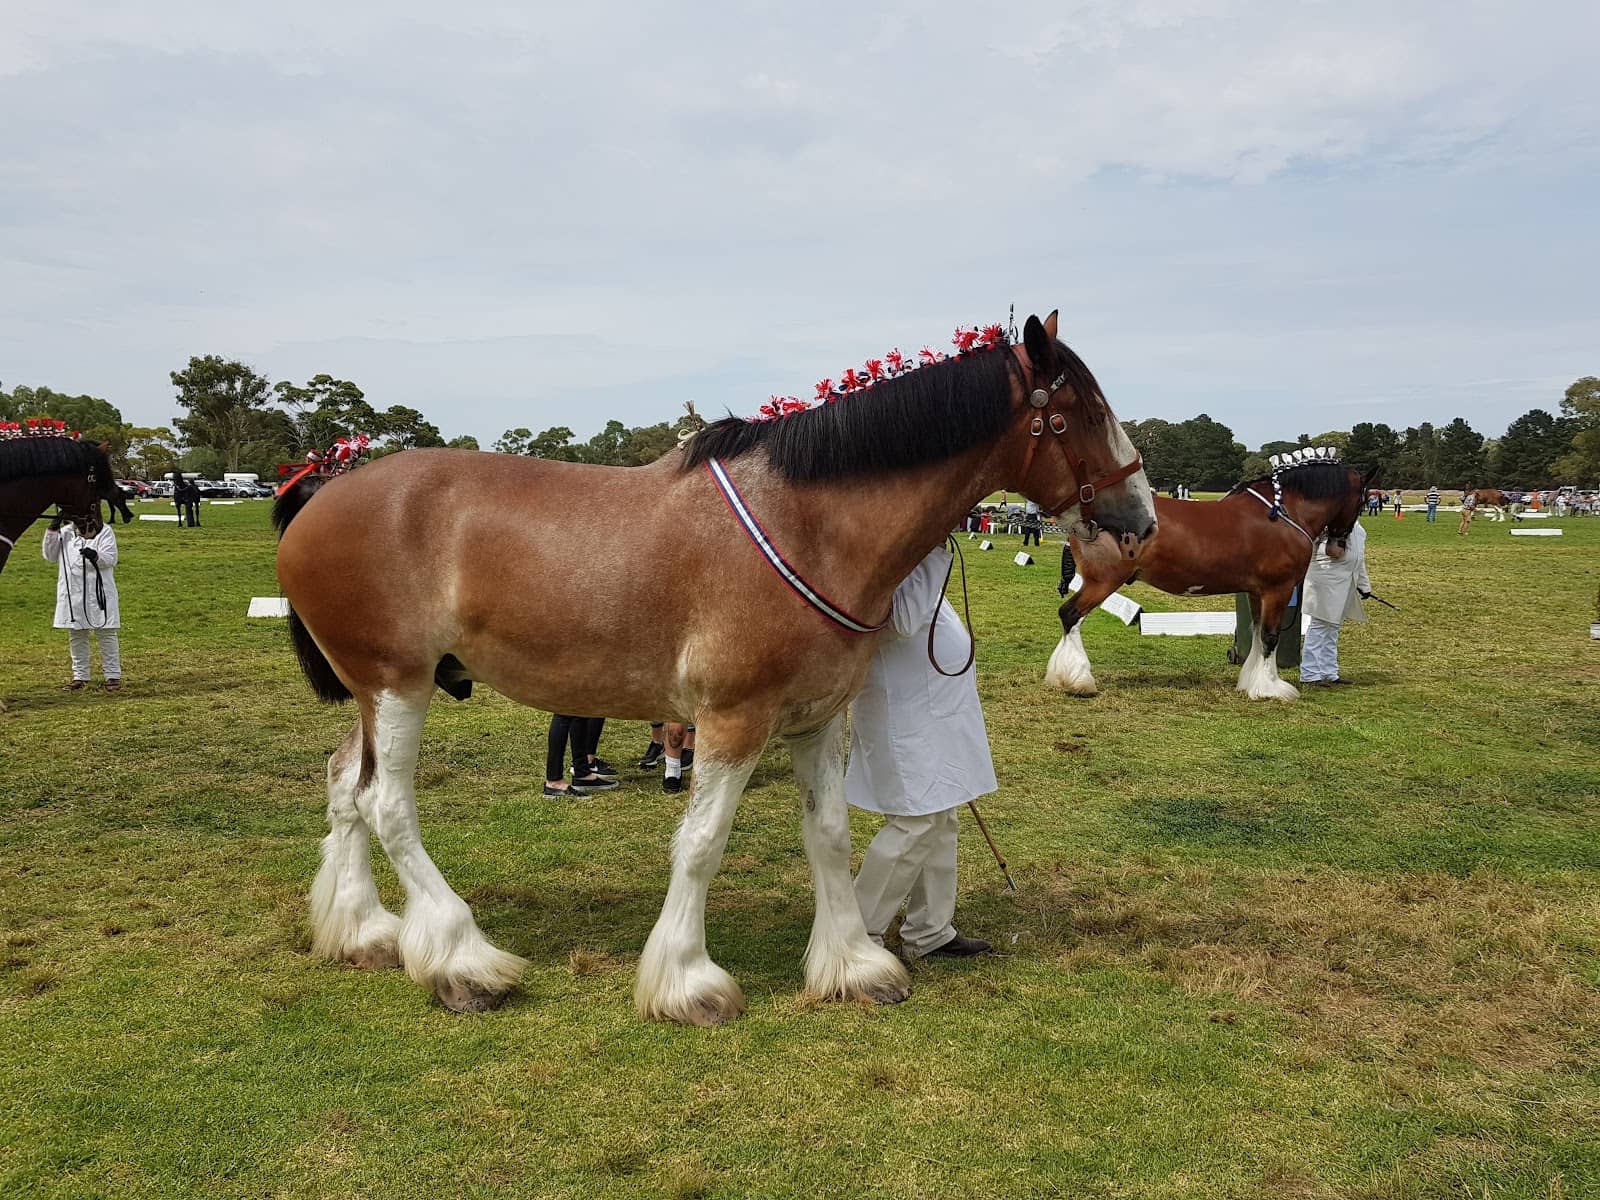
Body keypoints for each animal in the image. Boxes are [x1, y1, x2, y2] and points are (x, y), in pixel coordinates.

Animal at [273, 311, 1157, 1024]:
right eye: (1079, 413)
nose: (1142, 519)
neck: (807, 523)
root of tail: (323, 493)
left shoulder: (815, 719)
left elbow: (829, 834)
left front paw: (853, 966)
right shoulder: (733, 719)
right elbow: (701, 842)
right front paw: (688, 981)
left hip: (377, 691)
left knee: (345, 785)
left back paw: (363, 931)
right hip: (397, 684)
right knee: (386, 804)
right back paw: (462, 961)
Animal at [1044, 457, 1372, 702]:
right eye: (1363, 501)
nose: (1338, 547)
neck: (1285, 513)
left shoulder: (1256, 591)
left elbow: (1256, 633)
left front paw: (1250, 682)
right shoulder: (1277, 590)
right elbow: (1270, 636)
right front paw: (1270, 688)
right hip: (1102, 583)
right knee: (1070, 614)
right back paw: (1077, 681)